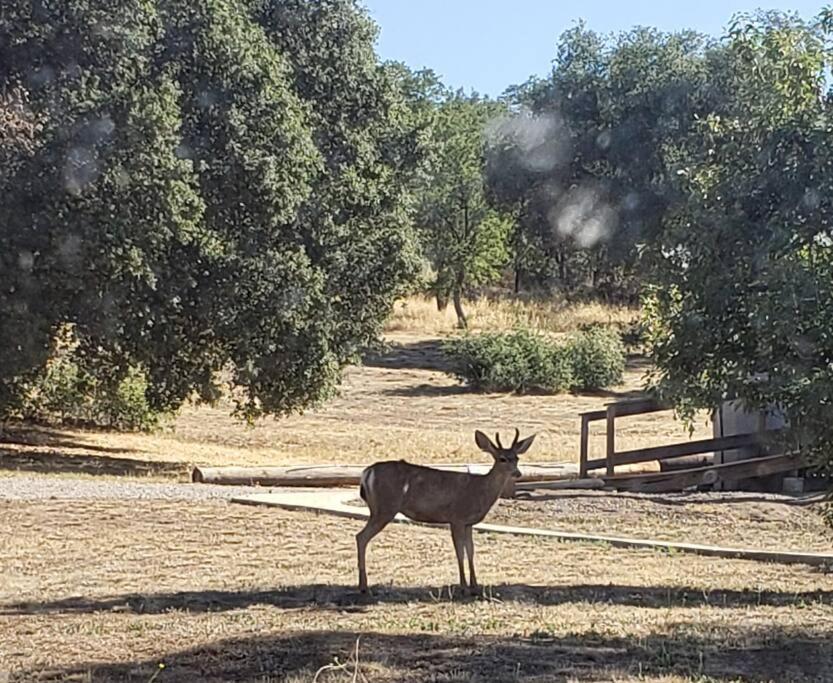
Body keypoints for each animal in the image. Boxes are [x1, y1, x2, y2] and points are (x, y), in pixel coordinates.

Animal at [354, 430, 536, 596]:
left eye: (517, 458)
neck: (480, 490)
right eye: (502, 459)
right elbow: (459, 551)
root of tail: (366, 473)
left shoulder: (468, 523)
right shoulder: (456, 518)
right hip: (384, 508)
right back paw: (363, 587)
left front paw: (475, 585)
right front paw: (463, 587)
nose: (518, 473)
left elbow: (470, 550)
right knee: (361, 537)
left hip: (379, 509)